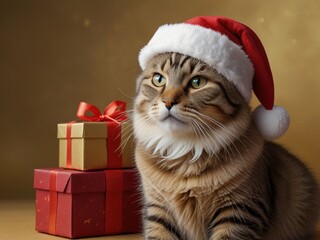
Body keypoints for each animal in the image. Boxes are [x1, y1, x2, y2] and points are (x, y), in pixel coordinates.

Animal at [132, 53, 318, 240]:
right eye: (158, 79)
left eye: (197, 82)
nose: (168, 102)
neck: (184, 151)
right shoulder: (158, 209)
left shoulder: (240, 210)